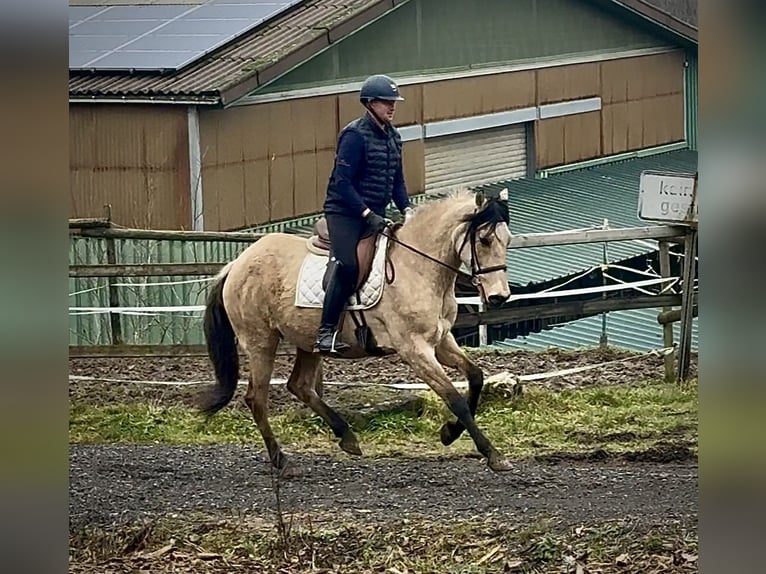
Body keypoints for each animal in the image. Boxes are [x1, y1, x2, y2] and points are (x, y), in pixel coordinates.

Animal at [199, 189, 514, 473]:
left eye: (507, 240)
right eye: (484, 240)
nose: (499, 297)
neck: (418, 267)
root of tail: (236, 264)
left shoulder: (441, 341)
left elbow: (475, 377)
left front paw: (450, 433)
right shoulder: (414, 349)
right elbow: (454, 398)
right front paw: (492, 454)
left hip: (307, 341)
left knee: (300, 386)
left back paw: (347, 437)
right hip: (261, 342)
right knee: (257, 398)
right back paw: (282, 461)